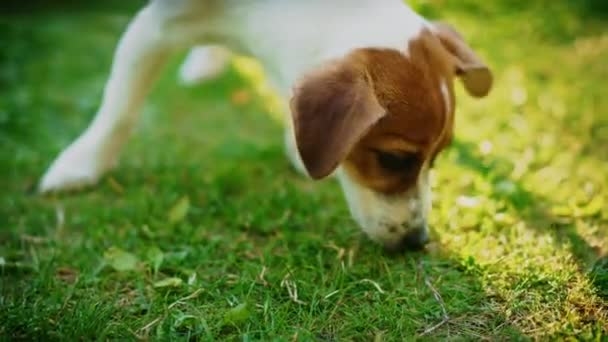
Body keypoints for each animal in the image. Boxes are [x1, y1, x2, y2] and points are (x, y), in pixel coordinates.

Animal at [39, 0, 494, 251]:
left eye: (437, 158)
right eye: (393, 159)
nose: (417, 243)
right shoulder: (154, 28)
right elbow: (119, 108)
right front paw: (82, 164)